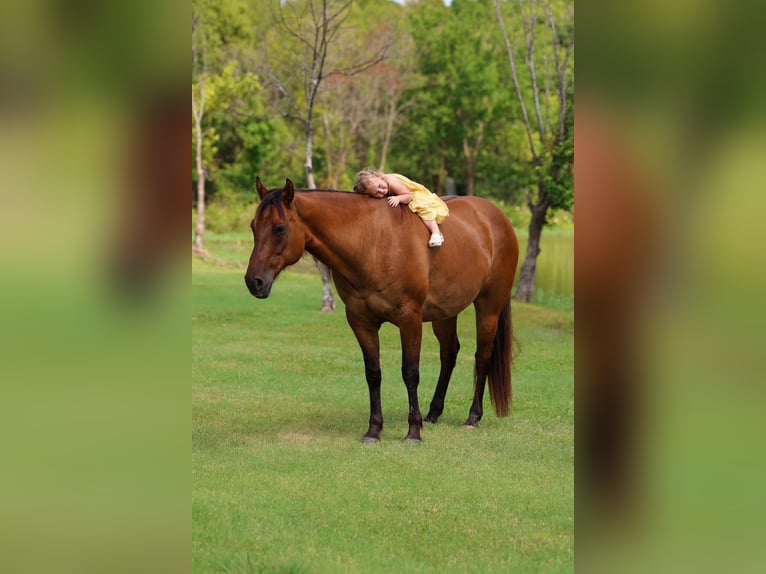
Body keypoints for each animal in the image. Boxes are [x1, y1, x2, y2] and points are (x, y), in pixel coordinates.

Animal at [245, 178, 519, 443]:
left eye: (280, 228)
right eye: (253, 226)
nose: (253, 281)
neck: (371, 243)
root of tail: (498, 217)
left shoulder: (410, 319)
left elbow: (410, 373)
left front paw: (413, 432)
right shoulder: (361, 321)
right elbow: (373, 374)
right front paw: (374, 430)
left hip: (488, 306)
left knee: (482, 356)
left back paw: (472, 417)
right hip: (446, 312)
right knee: (449, 354)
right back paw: (433, 413)